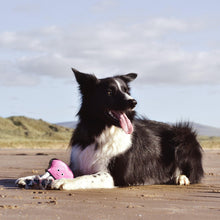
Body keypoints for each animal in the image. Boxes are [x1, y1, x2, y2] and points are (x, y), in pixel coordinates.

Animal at [16, 68, 204, 189]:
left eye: (127, 90)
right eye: (109, 92)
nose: (133, 102)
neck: (101, 130)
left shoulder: (115, 176)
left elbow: (88, 177)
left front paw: (65, 182)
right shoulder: (80, 162)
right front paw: (32, 177)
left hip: (183, 135)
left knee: (194, 173)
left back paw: (181, 177)